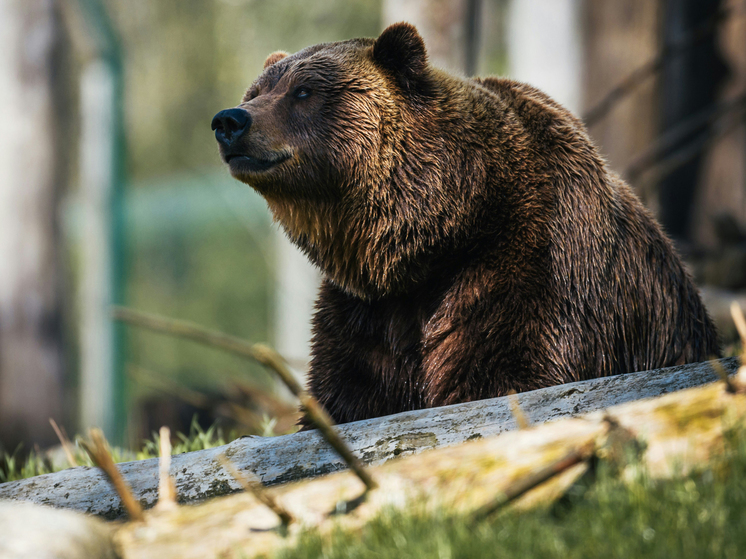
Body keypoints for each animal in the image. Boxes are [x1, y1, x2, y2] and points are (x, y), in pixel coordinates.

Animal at [211, 20, 720, 424]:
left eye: (304, 91)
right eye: (256, 92)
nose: (230, 120)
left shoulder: (530, 267)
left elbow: (506, 373)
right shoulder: (367, 312)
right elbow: (349, 393)